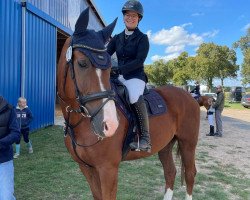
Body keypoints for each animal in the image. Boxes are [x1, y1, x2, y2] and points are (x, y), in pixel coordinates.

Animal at [56, 8, 199, 199]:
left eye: (110, 67)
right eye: (82, 63)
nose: (109, 125)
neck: (81, 123)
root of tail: (189, 96)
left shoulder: (108, 169)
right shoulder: (86, 168)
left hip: (188, 143)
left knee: (190, 174)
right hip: (166, 145)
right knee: (170, 172)